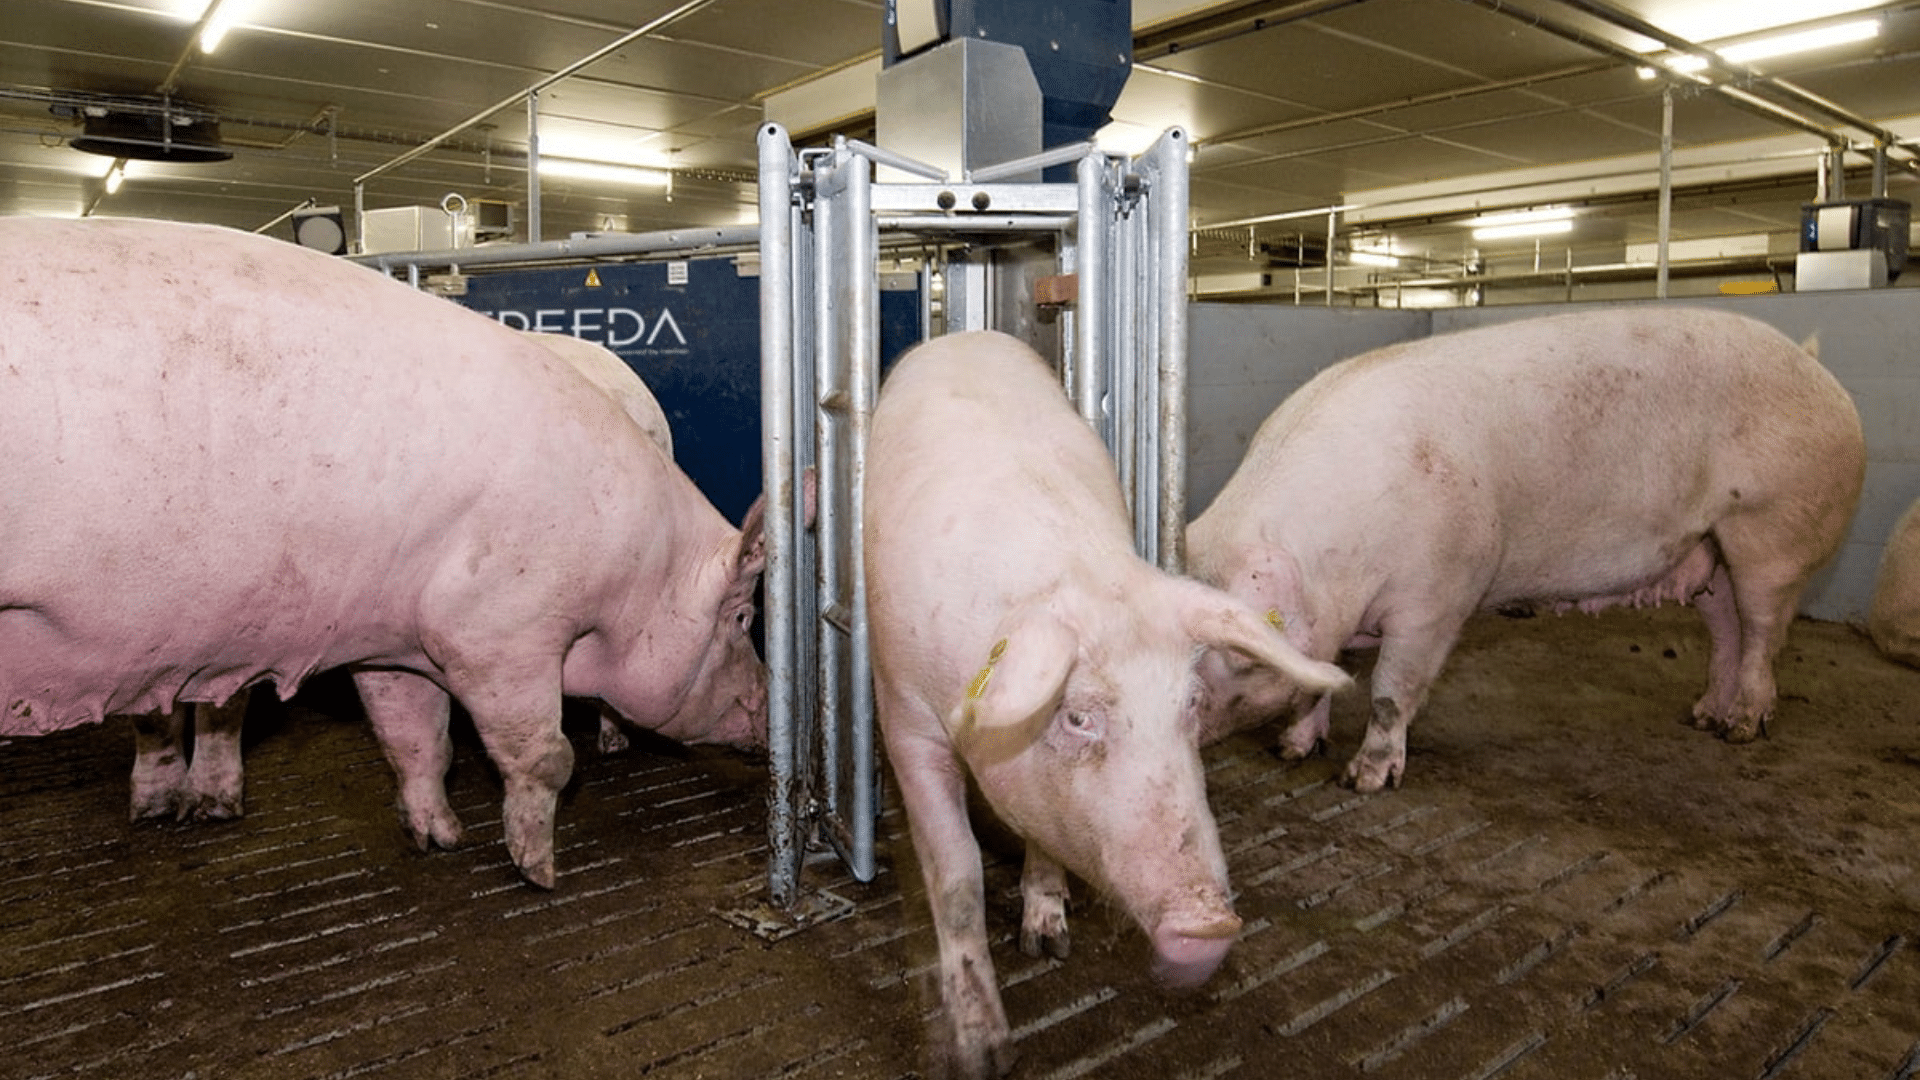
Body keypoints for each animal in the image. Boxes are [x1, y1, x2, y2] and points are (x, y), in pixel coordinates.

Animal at [7, 216, 771, 883]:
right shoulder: (499, 628)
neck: (637, 565)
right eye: (741, 619)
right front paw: (541, 874)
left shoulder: (391, 633)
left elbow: (414, 735)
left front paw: (439, 841)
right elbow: (543, 755)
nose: (767, 711)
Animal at [871, 330, 1351, 1076]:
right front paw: (984, 1053)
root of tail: (966, 334)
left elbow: (1040, 831)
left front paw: (1048, 939)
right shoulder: (905, 716)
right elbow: (955, 878)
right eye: (1078, 717)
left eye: (1190, 702)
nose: (1211, 922)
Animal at [1190, 307, 1866, 787]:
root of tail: (1819, 370)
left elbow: (1389, 691)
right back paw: (1703, 717)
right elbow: (1320, 682)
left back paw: (1741, 730)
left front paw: (1364, 781)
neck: (1332, 562)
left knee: (1762, 635)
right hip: (1708, 546)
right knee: (1726, 629)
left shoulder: (1440, 593)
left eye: (1219, 656)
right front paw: (1291, 750)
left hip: (1775, 532)